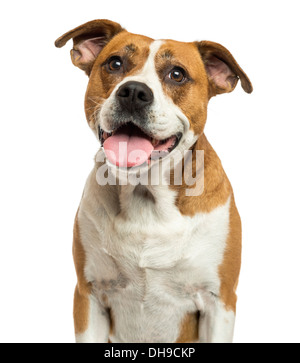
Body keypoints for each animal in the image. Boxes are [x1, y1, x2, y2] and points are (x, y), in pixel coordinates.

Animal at [55, 19, 252, 344]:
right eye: (115, 63)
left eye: (177, 74)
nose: (134, 91)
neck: (146, 193)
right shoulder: (89, 295)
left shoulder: (219, 301)